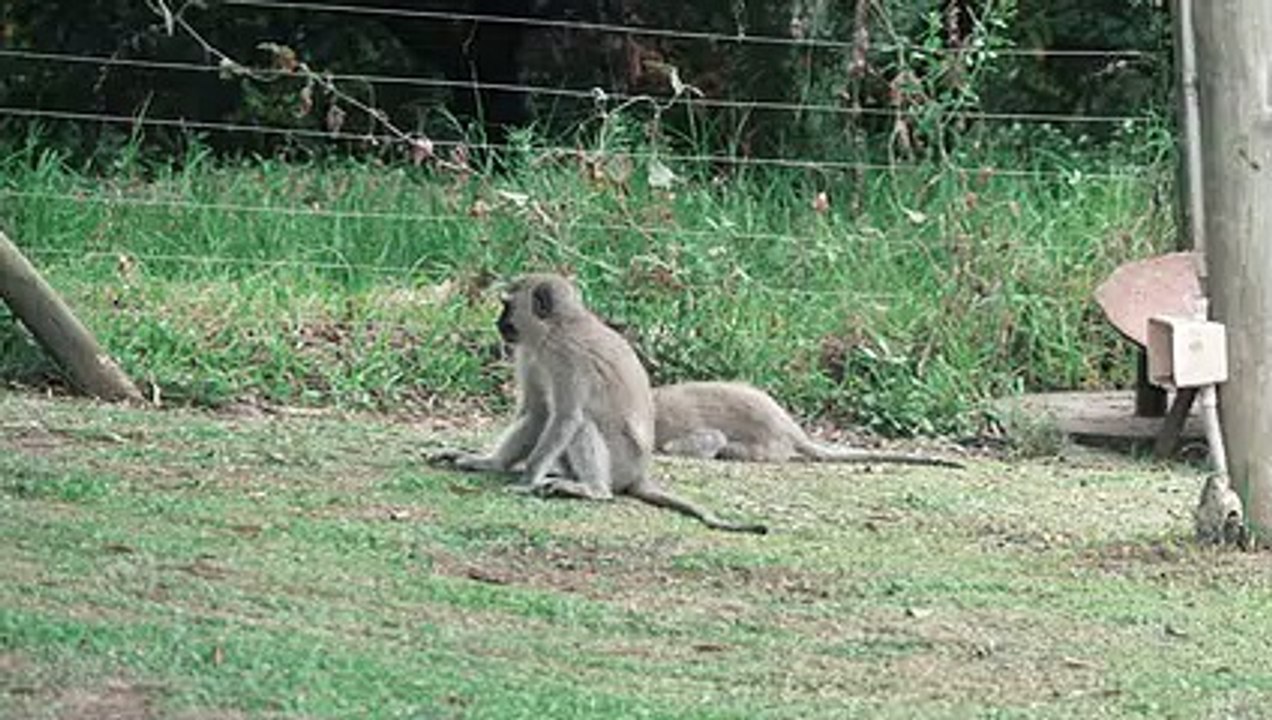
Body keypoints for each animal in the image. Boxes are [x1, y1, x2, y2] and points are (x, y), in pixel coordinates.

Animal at [432, 273, 767, 534]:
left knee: (582, 425)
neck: (558, 327)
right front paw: (488, 462)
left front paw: (527, 481)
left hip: (622, 463)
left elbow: (565, 418)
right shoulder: (531, 354)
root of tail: (639, 474)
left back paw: (593, 490)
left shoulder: (567, 357)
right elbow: (538, 414)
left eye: (507, 306)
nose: (498, 323)